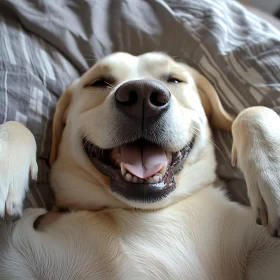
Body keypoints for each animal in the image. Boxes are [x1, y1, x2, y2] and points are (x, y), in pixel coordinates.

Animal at [0, 53, 280, 280]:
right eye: (99, 82)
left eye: (175, 79)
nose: (143, 95)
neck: (141, 214)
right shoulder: (17, 249)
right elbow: (16, 124)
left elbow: (251, 111)